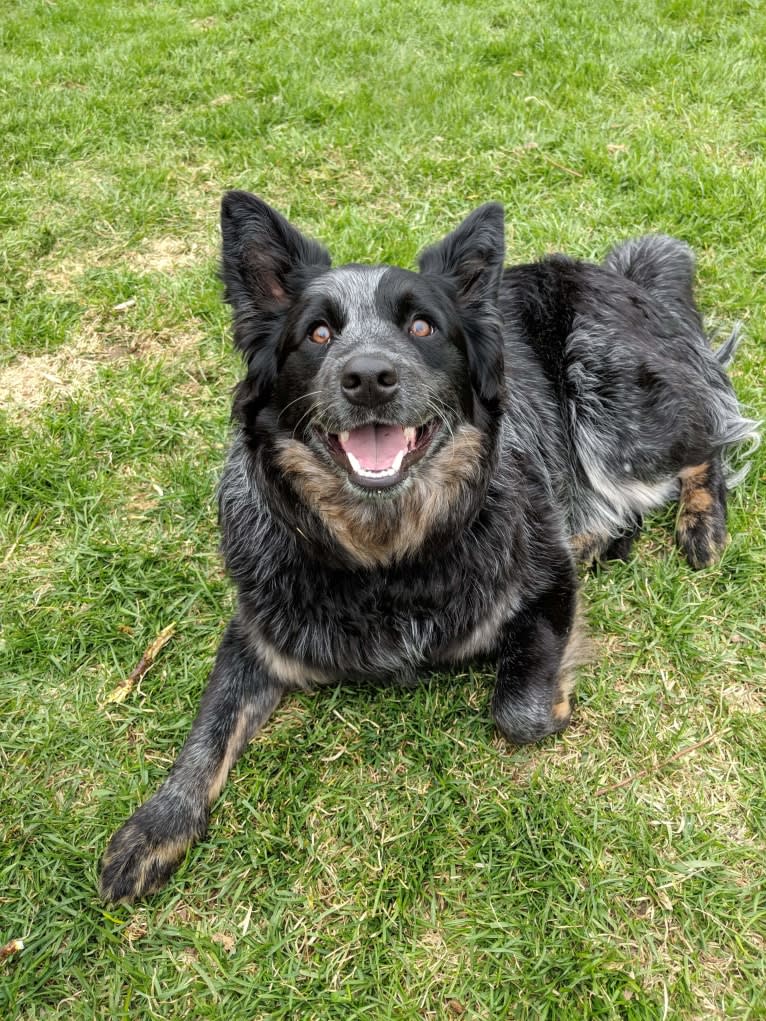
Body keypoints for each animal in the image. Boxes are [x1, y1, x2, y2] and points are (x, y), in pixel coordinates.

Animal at [99, 191, 759, 902]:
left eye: (422, 328)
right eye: (318, 334)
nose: (368, 376)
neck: (387, 558)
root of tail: (626, 278)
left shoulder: (544, 582)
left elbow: (519, 711)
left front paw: (555, 701)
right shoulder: (258, 633)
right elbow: (208, 730)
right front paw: (156, 826)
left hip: (614, 407)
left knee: (708, 438)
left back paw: (699, 524)